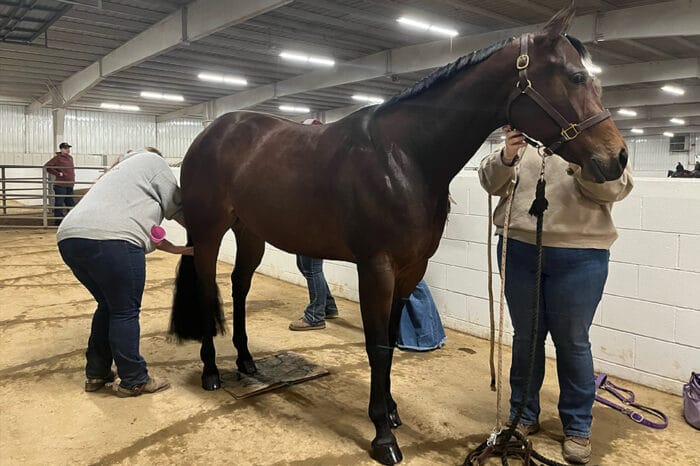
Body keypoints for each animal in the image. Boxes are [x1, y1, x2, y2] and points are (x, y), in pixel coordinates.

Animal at [170, 3, 628, 464]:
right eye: (575, 77)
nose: (618, 158)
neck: (405, 156)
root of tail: (211, 133)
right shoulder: (376, 269)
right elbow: (376, 346)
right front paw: (382, 436)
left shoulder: (411, 269)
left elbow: (390, 340)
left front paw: (390, 411)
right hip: (209, 234)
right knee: (208, 287)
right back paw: (212, 371)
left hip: (251, 234)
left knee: (238, 287)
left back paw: (246, 362)